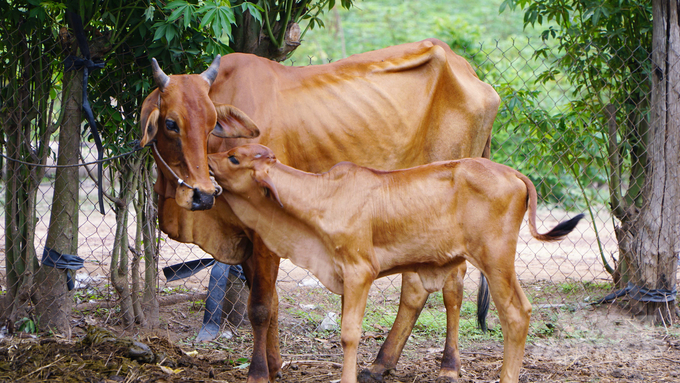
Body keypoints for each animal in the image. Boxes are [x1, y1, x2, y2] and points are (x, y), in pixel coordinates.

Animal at [138, 39, 500, 383]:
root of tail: (467, 69)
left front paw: (258, 372)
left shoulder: (265, 232)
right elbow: (272, 303)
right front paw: (274, 365)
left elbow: (260, 306)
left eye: (212, 123)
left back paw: (448, 367)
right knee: (416, 286)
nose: (202, 194)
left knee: (452, 285)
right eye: (170, 123)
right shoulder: (247, 234)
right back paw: (380, 365)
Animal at [209, 145, 584, 383]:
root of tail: (514, 174)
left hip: (495, 260)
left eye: (233, 157)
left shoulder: (360, 271)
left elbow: (349, 334)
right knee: (521, 309)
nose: (206, 159)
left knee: (515, 315)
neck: (323, 198)